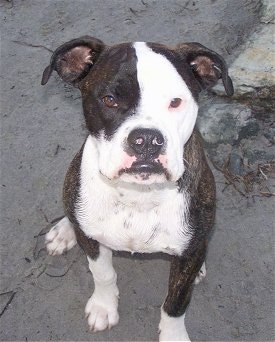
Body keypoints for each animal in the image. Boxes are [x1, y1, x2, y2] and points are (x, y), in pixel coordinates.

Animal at [42, 36, 234, 340]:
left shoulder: (187, 258)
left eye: (176, 102)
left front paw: (173, 334)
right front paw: (103, 307)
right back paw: (64, 230)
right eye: (109, 99)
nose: (146, 139)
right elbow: (103, 273)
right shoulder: (93, 243)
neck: (138, 194)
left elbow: (175, 303)